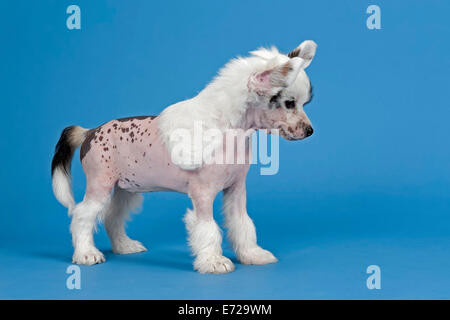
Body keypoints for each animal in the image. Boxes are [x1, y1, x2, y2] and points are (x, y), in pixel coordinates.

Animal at [51, 40, 316, 274]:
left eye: (304, 103)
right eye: (289, 103)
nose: (310, 131)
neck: (229, 130)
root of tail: (89, 131)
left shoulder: (236, 190)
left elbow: (242, 223)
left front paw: (252, 254)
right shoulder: (203, 194)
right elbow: (207, 228)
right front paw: (213, 261)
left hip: (126, 189)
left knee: (112, 217)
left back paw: (124, 246)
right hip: (100, 185)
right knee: (83, 216)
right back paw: (86, 253)